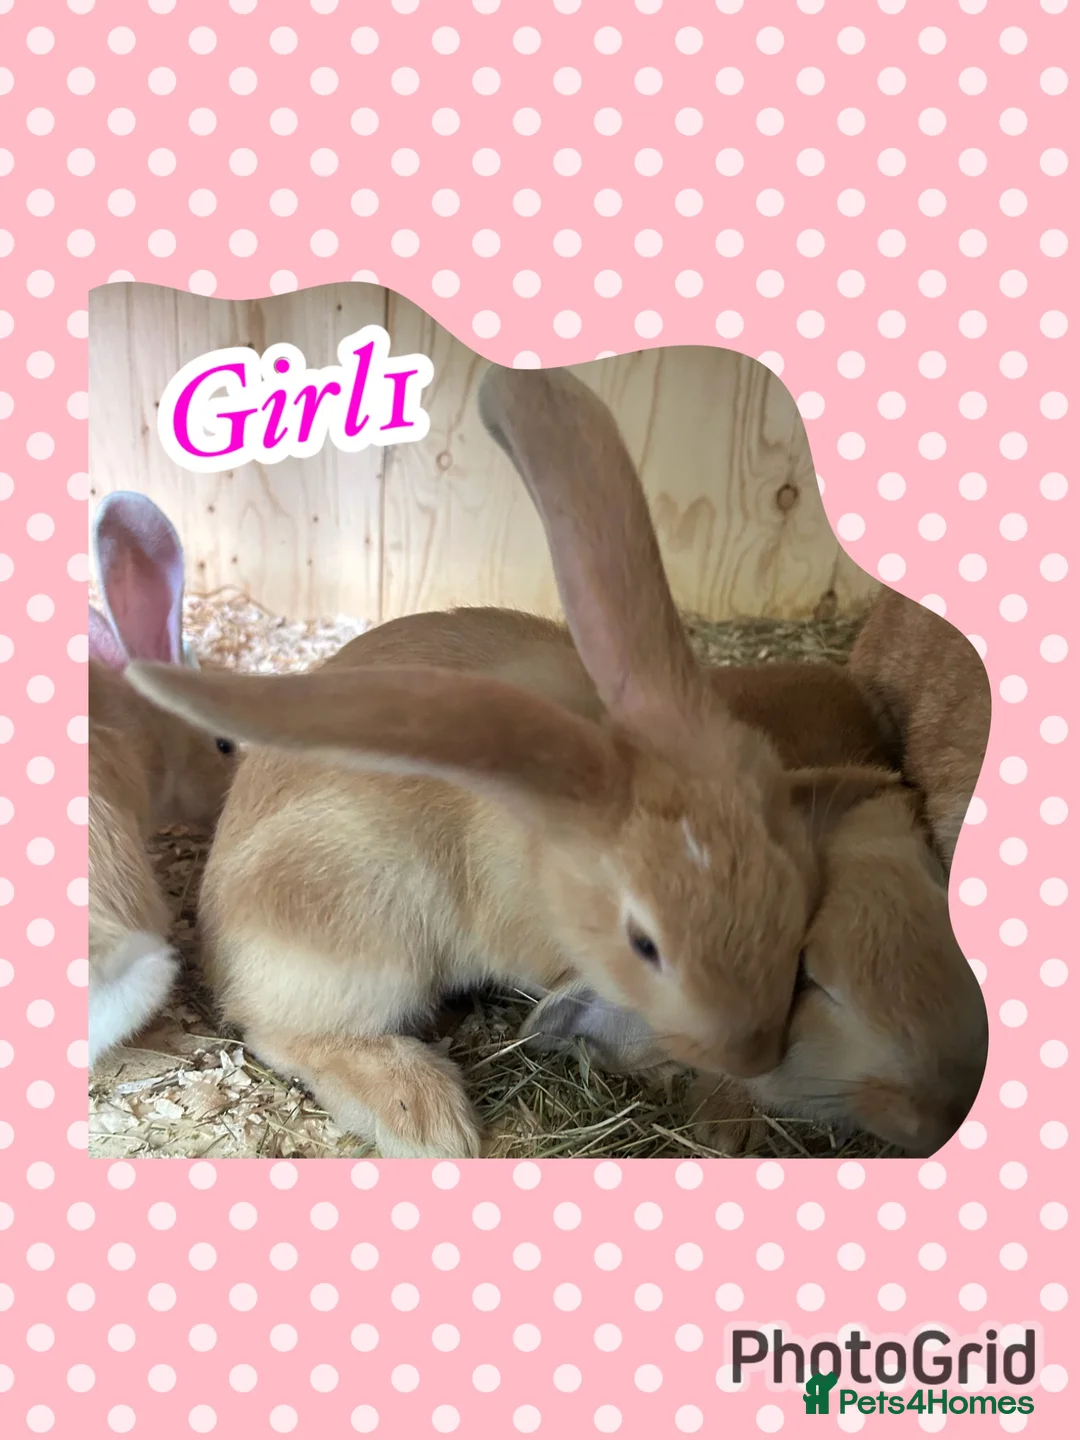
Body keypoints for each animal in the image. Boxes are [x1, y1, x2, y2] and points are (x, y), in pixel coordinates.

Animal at [122, 365, 899, 1159]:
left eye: (796, 899)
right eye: (644, 943)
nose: (753, 1053)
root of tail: (217, 931)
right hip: (358, 933)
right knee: (286, 1031)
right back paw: (429, 1118)